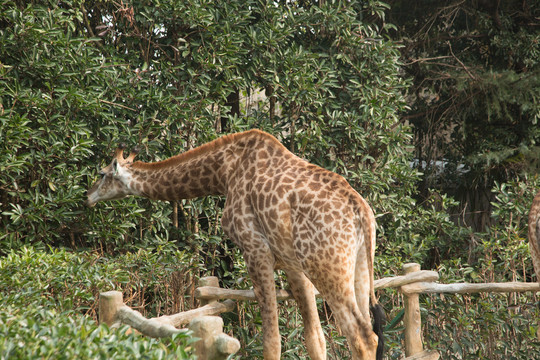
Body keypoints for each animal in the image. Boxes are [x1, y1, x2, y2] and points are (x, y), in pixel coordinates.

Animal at [85, 129, 384, 358]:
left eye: (101, 173)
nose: (87, 197)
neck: (224, 172)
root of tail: (361, 213)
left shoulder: (255, 249)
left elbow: (272, 341)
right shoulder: (291, 264)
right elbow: (315, 338)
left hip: (325, 267)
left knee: (362, 337)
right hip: (356, 266)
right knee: (367, 331)